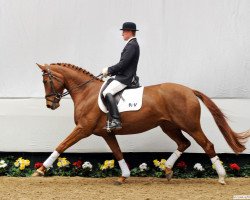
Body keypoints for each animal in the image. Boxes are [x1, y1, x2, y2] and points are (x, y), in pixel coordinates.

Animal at [32, 63, 249, 185]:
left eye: (45, 81)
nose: (50, 105)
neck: (87, 93)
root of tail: (189, 90)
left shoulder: (83, 129)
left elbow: (61, 145)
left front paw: (40, 170)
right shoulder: (107, 133)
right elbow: (118, 153)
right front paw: (124, 176)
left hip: (191, 125)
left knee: (207, 145)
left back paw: (221, 177)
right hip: (168, 126)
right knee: (183, 143)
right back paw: (167, 170)